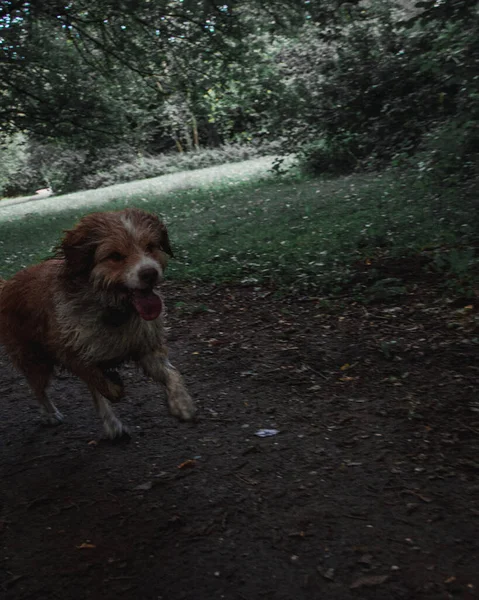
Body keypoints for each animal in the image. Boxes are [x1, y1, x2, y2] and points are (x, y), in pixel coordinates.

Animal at [0, 209, 197, 438]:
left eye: (150, 247)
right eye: (115, 256)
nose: (150, 273)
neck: (112, 309)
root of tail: (7, 285)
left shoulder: (145, 346)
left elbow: (172, 373)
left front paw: (181, 402)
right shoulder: (71, 352)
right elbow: (101, 383)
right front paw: (115, 385)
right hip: (33, 358)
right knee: (38, 388)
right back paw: (51, 414)